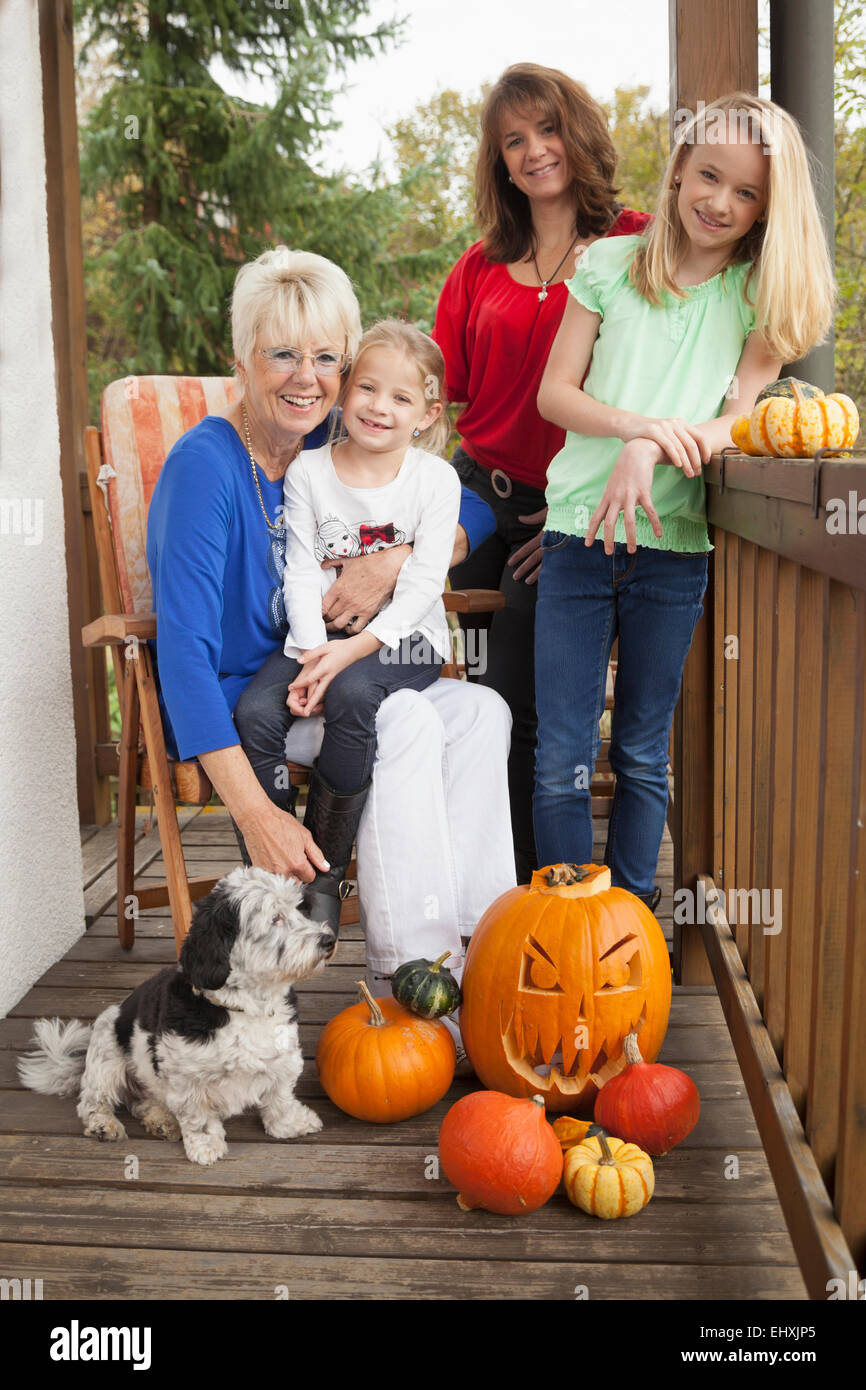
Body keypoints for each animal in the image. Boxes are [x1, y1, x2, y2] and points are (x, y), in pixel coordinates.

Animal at [19, 867, 335, 1162]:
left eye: (302, 909)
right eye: (275, 918)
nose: (328, 940)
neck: (245, 1008)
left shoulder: (284, 1060)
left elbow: (280, 1098)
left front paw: (290, 1124)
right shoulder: (187, 1079)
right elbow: (198, 1116)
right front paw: (206, 1146)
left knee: (141, 1102)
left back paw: (161, 1122)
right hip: (106, 1054)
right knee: (92, 1102)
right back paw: (104, 1125)